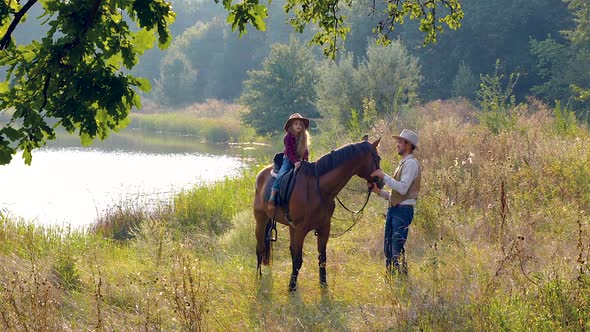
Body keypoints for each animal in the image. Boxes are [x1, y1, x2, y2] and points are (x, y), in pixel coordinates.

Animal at [254, 136, 384, 292]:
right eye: (378, 158)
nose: (382, 182)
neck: (319, 189)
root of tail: (261, 173)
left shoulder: (324, 228)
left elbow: (322, 258)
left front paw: (323, 283)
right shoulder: (301, 229)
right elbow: (298, 259)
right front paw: (291, 287)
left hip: (290, 226)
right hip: (261, 219)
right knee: (260, 248)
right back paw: (259, 277)